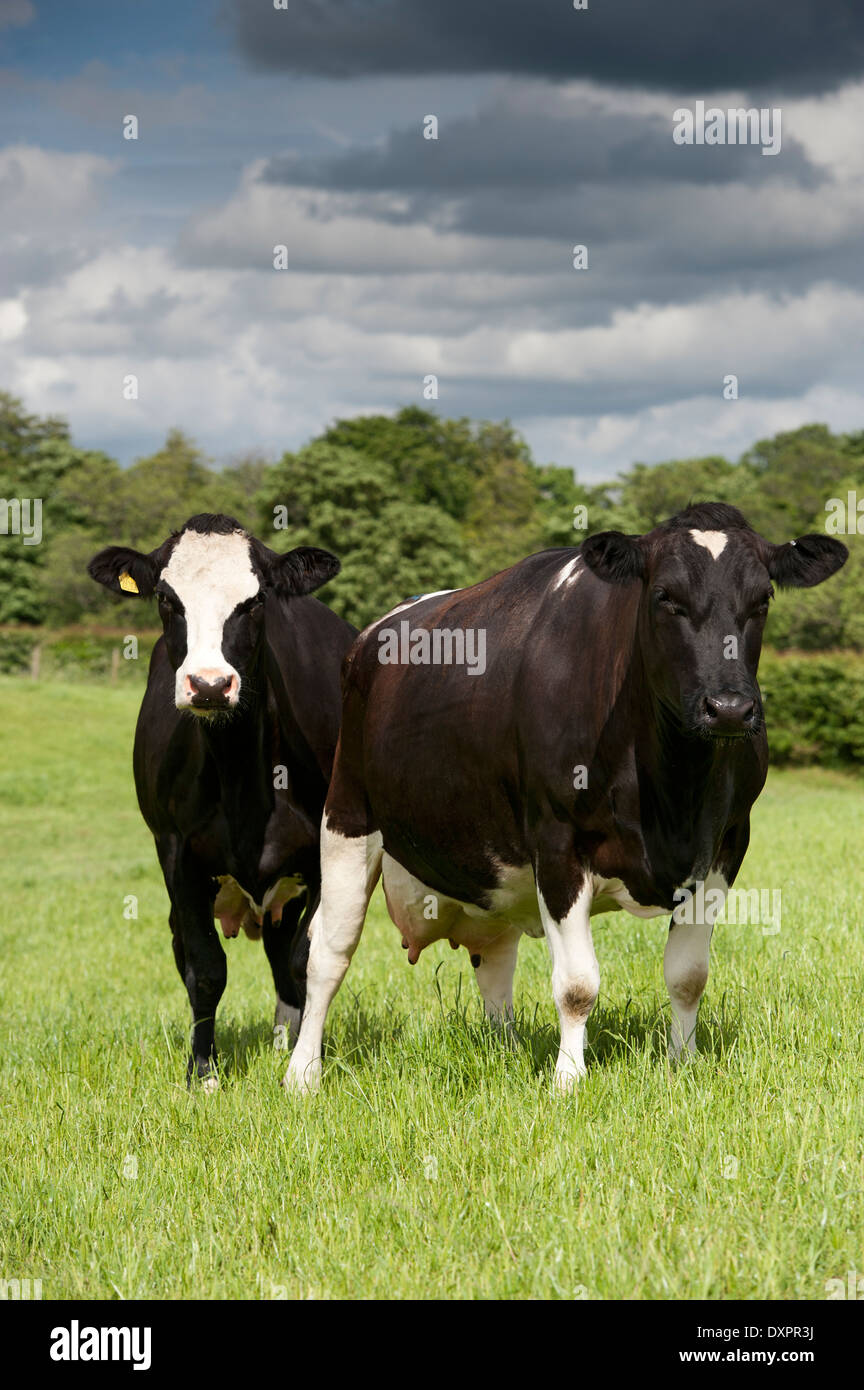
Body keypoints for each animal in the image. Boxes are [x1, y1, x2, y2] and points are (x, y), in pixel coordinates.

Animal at [87, 517, 355, 1089]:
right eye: (167, 599)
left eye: (255, 602)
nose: (209, 685)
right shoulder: (175, 853)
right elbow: (205, 969)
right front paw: (203, 1072)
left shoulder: (326, 851)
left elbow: (305, 958)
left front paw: (304, 1061)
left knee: (282, 954)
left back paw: (283, 1039)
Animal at [287, 505, 850, 1089]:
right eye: (665, 597)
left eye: (762, 600)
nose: (730, 708)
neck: (672, 789)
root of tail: (370, 634)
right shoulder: (557, 843)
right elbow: (578, 984)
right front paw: (568, 1080)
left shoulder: (726, 845)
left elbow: (688, 975)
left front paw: (683, 1063)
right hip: (347, 815)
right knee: (327, 952)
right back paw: (303, 1073)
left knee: (495, 961)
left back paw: (506, 1050)